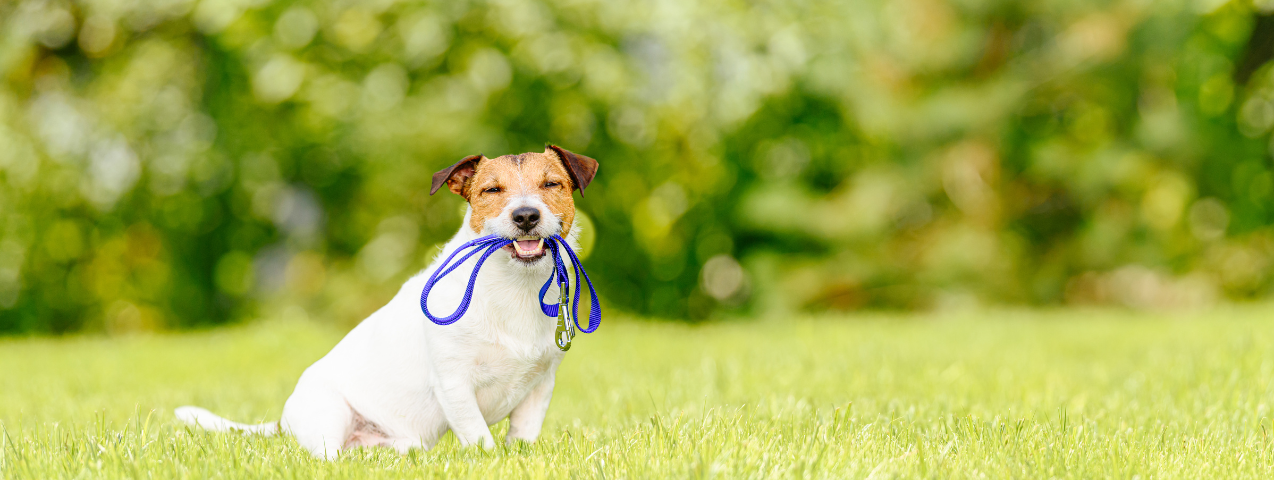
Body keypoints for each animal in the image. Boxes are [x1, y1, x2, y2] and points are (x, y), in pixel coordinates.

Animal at [170, 145, 601, 455]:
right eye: (491, 190)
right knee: (328, 457)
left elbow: (523, 435)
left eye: (551, 184)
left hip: (403, 442)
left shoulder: (541, 383)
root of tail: (284, 422)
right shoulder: (453, 381)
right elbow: (479, 437)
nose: (526, 216)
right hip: (330, 415)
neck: (514, 287)